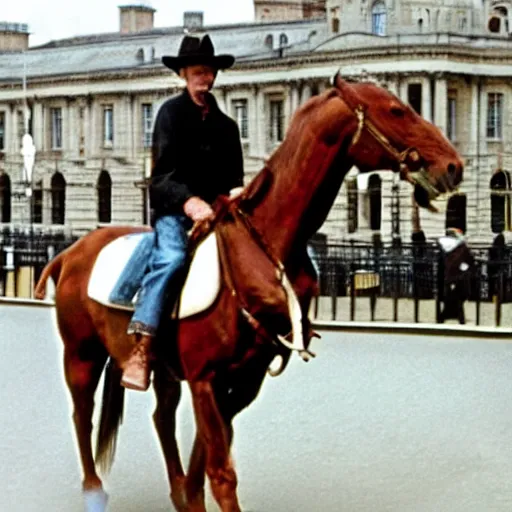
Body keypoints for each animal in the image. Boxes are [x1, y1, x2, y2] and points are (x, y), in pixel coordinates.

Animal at [34, 74, 462, 510]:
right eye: (397, 110)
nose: (452, 165)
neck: (266, 248)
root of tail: (70, 251)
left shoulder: (243, 380)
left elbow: (206, 461)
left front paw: (189, 495)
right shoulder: (205, 379)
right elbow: (220, 471)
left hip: (162, 370)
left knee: (161, 418)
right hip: (82, 355)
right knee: (82, 415)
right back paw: (93, 490)